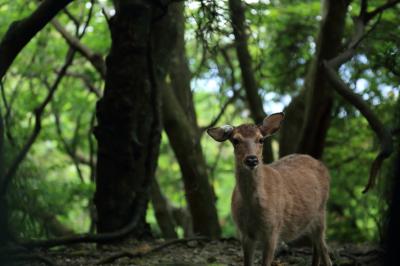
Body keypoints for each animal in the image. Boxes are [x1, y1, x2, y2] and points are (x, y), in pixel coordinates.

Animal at [206, 112, 332, 266]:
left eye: (261, 140)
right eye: (235, 140)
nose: (252, 159)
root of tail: (322, 165)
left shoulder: (273, 229)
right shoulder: (244, 232)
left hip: (321, 212)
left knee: (324, 249)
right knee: (317, 247)